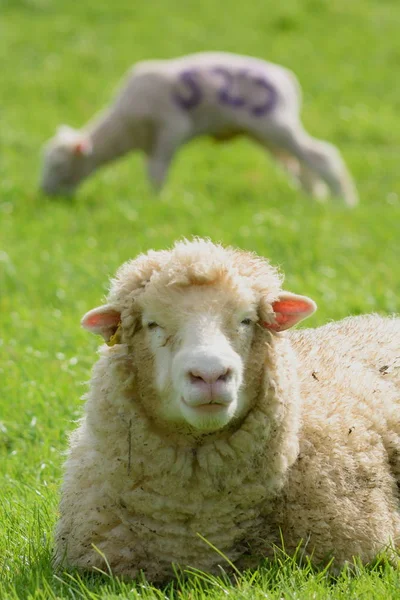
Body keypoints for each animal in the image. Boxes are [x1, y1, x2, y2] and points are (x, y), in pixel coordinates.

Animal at [41, 52, 360, 206]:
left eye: (58, 165)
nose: (45, 195)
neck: (124, 128)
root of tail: (287, 78)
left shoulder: (171, 128)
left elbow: (156, 172)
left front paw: (156, 202)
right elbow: (153, 170)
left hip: (276, 125)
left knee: (321, 155)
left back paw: (344, 201)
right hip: (264, 134)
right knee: (299, 164)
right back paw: (315, 198)